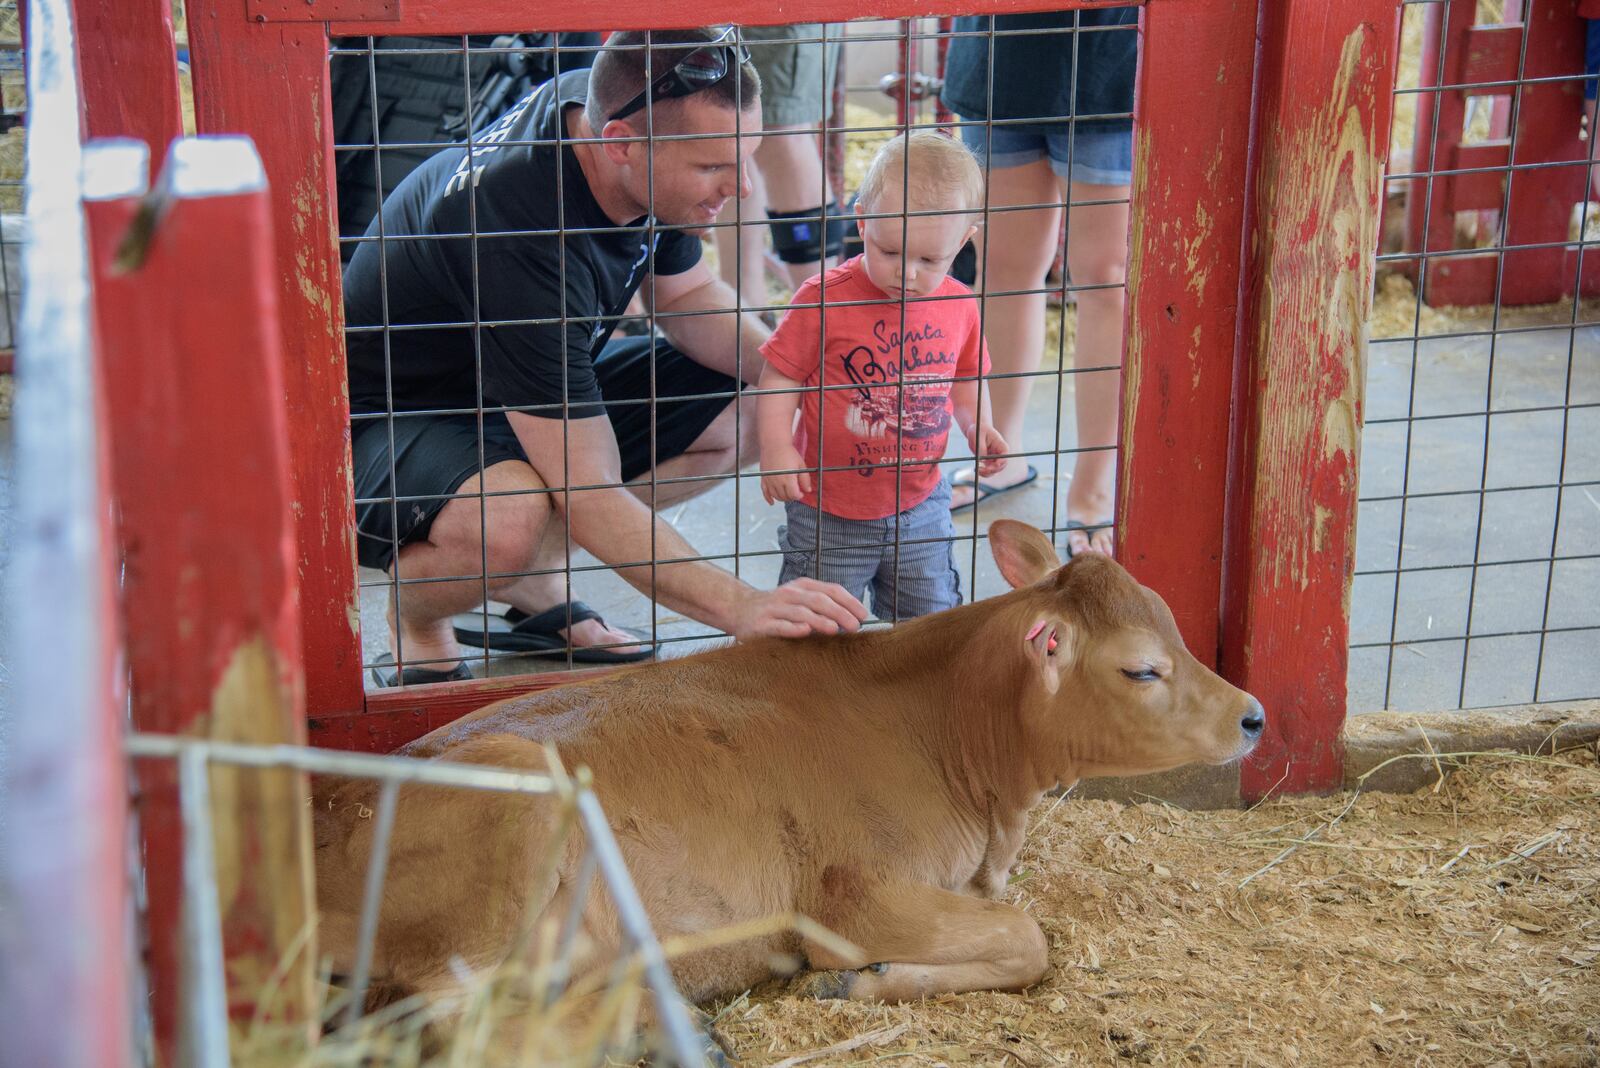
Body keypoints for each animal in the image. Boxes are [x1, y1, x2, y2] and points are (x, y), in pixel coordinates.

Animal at [312, 521, 1260, 1016]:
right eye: (1142, 669)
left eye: (1175, 625)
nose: (1252, 715)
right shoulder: (852, 894)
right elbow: (1029, 938)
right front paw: (860, 979)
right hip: (513, 813)